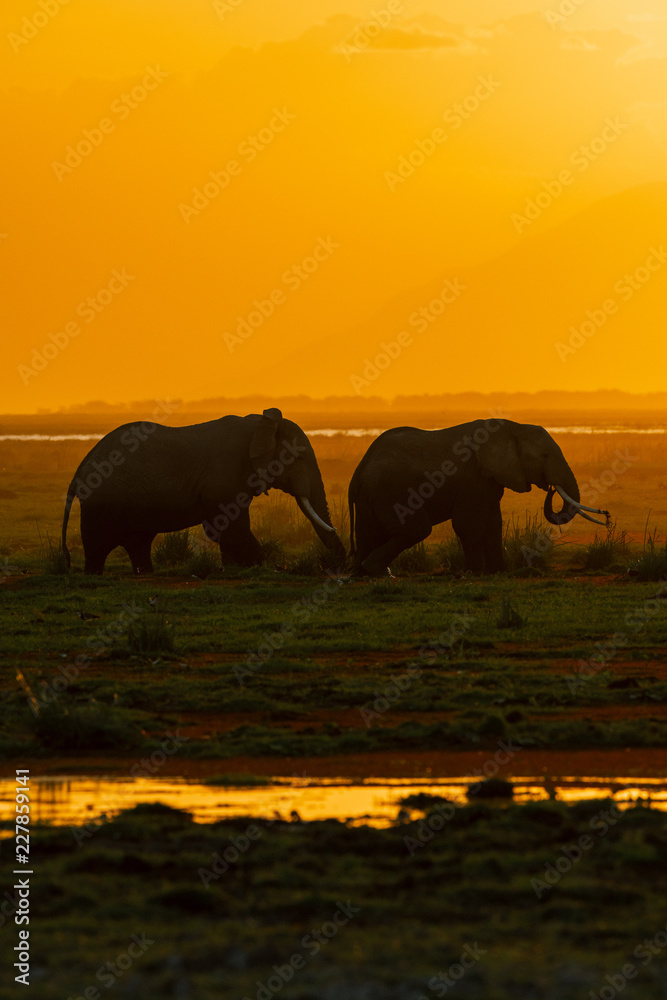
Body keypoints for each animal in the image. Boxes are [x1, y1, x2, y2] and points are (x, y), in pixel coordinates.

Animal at [61, 407, 345, 574]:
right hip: (99, 505)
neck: (259, 424)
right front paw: (258, 566)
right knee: (98, 548)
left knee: (138, 543)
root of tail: (80, 469)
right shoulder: (225, 474)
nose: (340, 565)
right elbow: (234, 527)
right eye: (299, 458)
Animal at [348, 417, 610, 575]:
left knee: (369, 534)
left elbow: (493, 523)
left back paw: (364, 573)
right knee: (416, 530)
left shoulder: (490, 477)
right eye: (544, 456)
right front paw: (473, 572)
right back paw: (373, 569)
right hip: (391, 492)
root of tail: (359, 471)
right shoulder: (472, 475)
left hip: (372, 495)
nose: (552, 488)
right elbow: (469, 523)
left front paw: (499, 572)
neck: (513, 427)